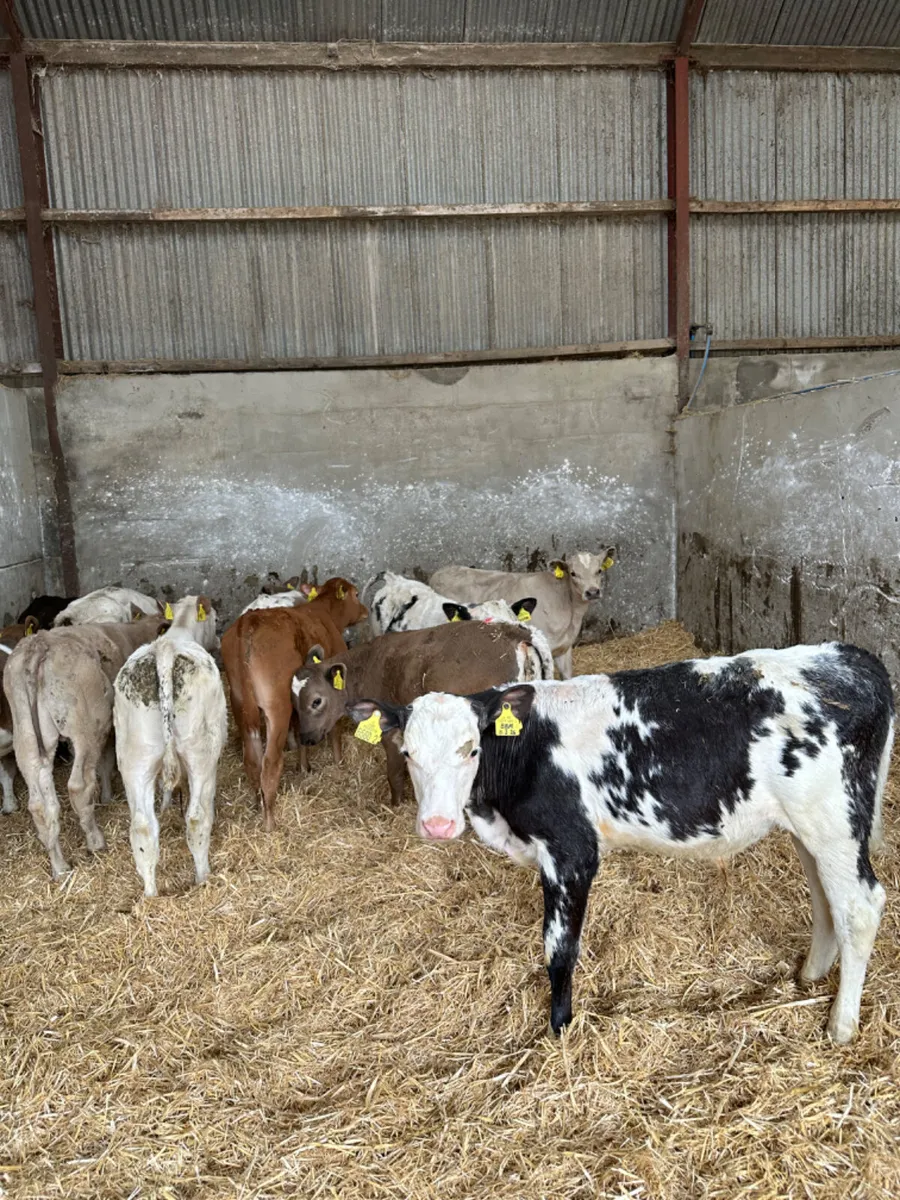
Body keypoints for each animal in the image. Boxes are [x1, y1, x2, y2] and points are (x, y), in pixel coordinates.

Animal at [3, 602, 199, 879]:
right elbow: (107, 762)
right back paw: (95, 840)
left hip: (27, 739)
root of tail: (39, 644)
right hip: (85, 730)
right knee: (79, 786)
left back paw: (59, 866)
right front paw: (107, 795)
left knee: (41, 803)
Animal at [114, 596, 224, 897]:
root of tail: (164, 652)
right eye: (216, 620)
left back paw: (151, 894)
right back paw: (202, 877)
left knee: (142, 827)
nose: (219, 640)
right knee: (197, 817)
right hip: (201, 755)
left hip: (135, 760)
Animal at [220, 577, 367, 830]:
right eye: (356, 594)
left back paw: (258, 803)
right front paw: (338, 762)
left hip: (241, 706)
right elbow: (334, 729)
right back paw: (270, 822)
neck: (323, 612)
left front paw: (304, 767)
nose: (366, 611)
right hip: (276, 707)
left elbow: (301, 731)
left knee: (252, 761)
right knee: (270, 764)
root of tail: (247, 625)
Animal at [292, 620, 552, 805]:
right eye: (294, 702)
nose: (305, 737)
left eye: (316, 701)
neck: (367, 666)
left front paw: (395, 807)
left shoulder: (392, 732)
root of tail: (513, 632)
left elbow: (394, 774)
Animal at [347, 643, 894, 1045]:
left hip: (834, 821)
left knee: (859, 907)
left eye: (471, 749)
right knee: (826, 899)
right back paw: (810, 976)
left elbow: (559, 948)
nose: (437, 824)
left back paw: (841, 1025)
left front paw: (559, 1028)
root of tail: (848, 655)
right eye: (407, 752)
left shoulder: (570, 852)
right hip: (811, 829)